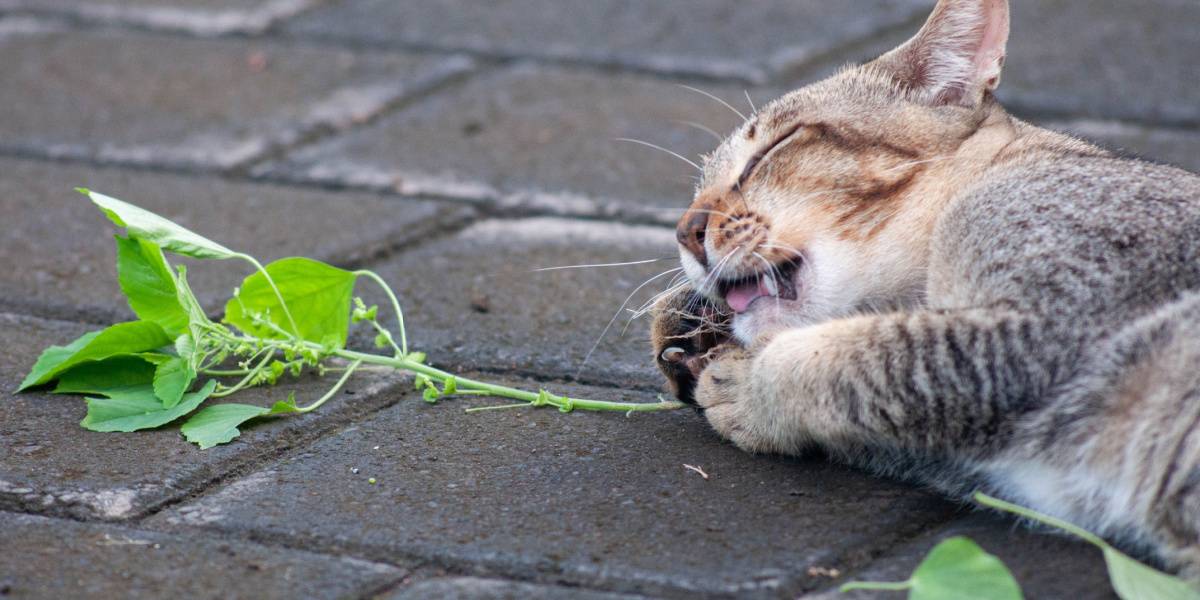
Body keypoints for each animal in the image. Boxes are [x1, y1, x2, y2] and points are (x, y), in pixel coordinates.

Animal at [652, 0, 1200, 578]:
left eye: (775, 147)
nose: (684, 231)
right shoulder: (981, 458)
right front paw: (689, 323)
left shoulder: (1043, 322)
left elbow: (830, 361)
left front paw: (749, 384)